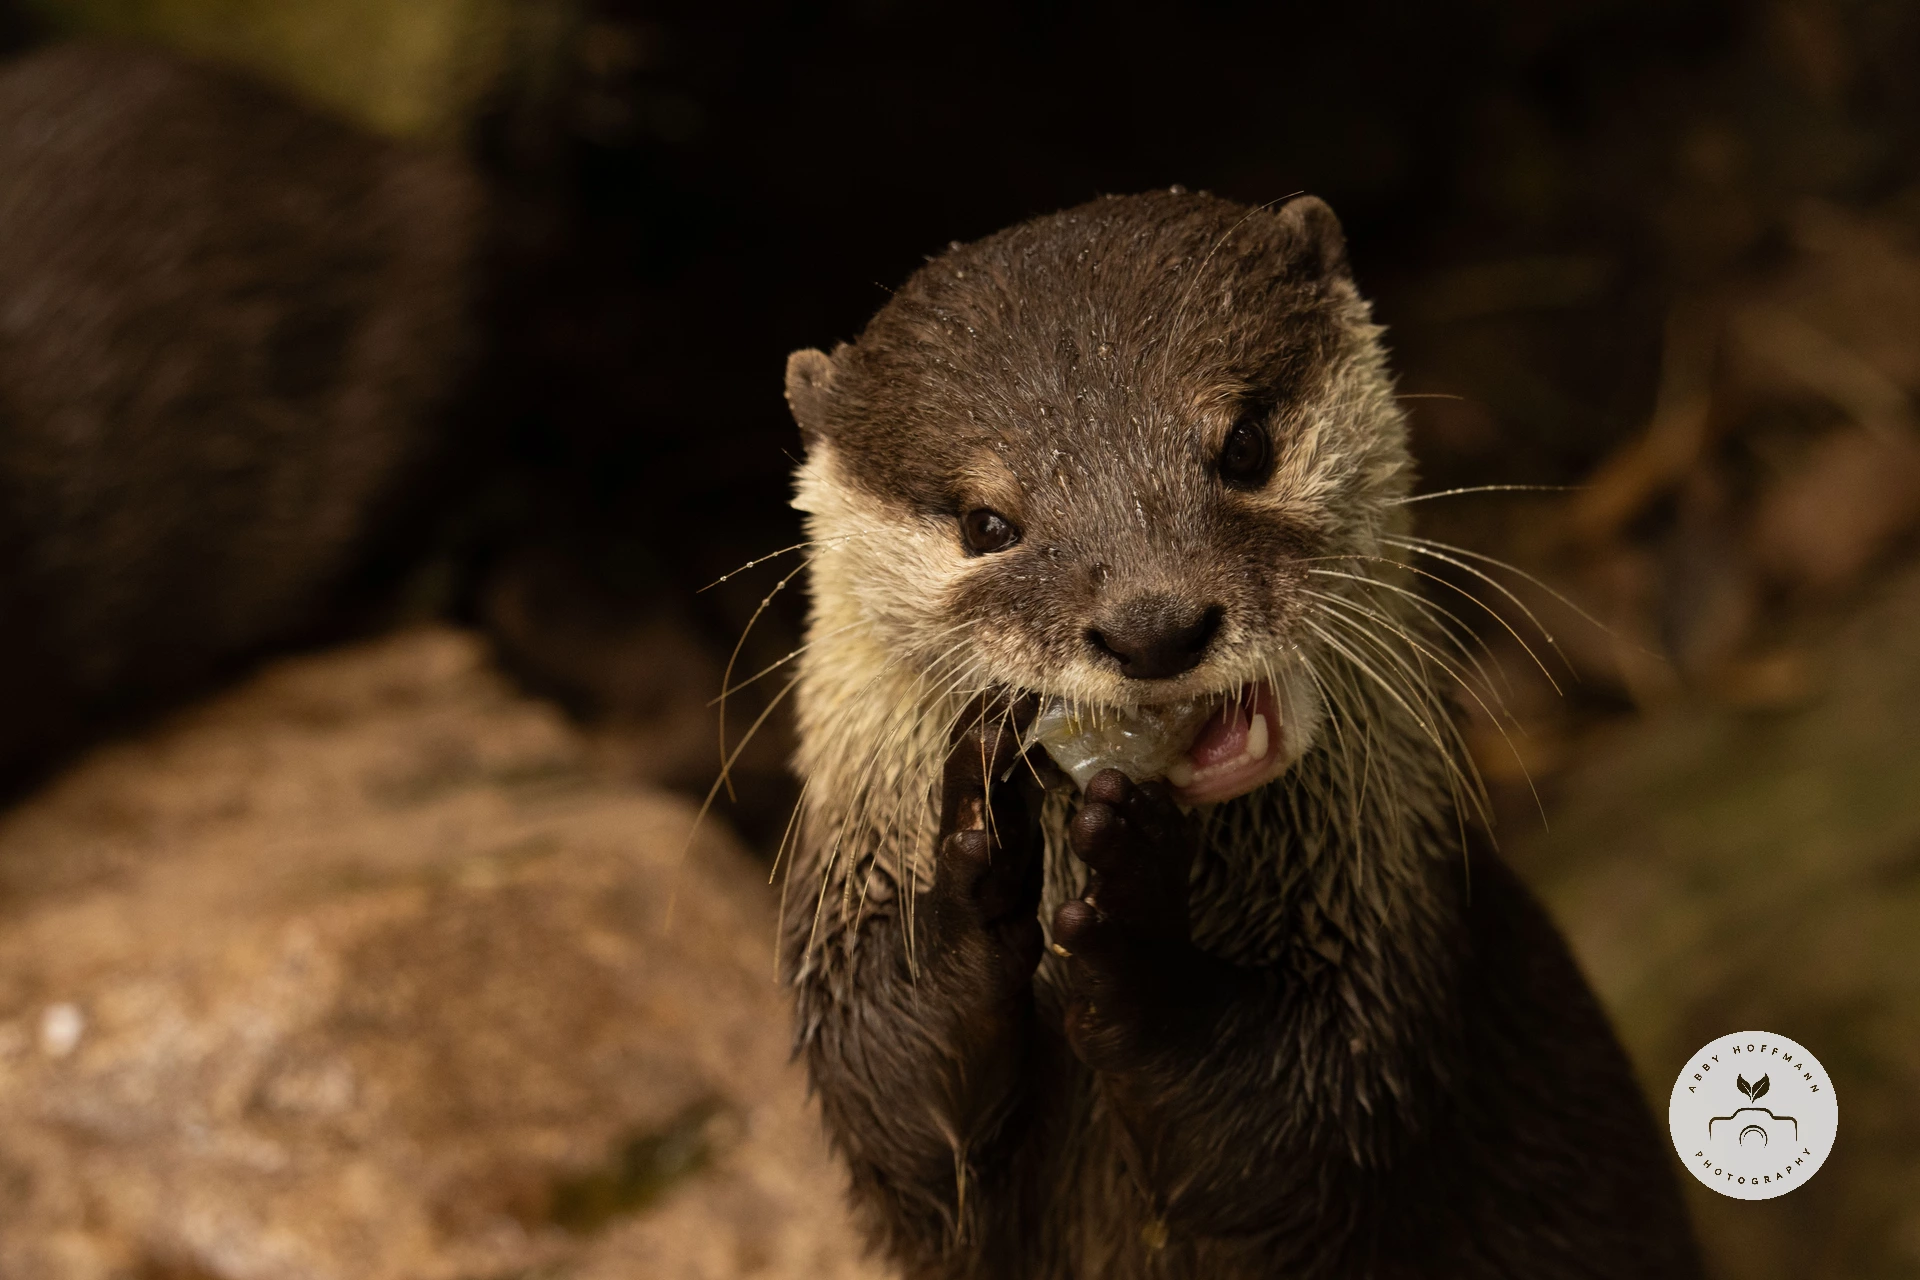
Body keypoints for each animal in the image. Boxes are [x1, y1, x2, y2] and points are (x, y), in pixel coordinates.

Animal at [777, 191, 1700, 1278]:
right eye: (985, 524)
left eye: (1246, 445)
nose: (1154, 624)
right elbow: (889, 1088)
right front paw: (977, 859)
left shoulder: (1384, 955)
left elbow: (1299, 1124)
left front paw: (1139, 926)